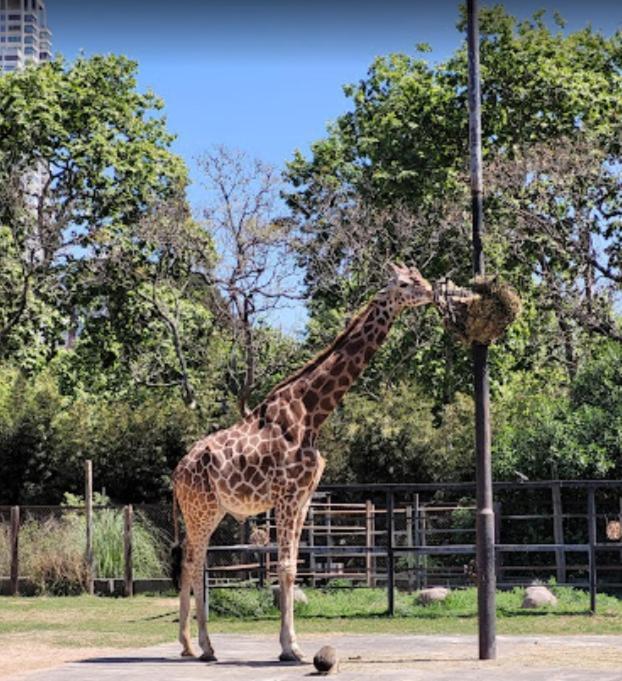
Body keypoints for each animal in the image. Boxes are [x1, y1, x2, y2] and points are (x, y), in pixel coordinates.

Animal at [171, 262, 434, 660]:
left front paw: (288, 644)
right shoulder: (288, 494)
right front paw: (291, 647)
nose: (432, 290)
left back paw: (191, 645)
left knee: (190, 560)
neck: (312, 413)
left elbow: (294, 566)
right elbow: (286, 568)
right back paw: (203, 645)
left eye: (418, 277)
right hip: (201, 509)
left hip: (207, 510)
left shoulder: (305, 496)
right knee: (194, 561)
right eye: (404, 284)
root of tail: (176, 473)